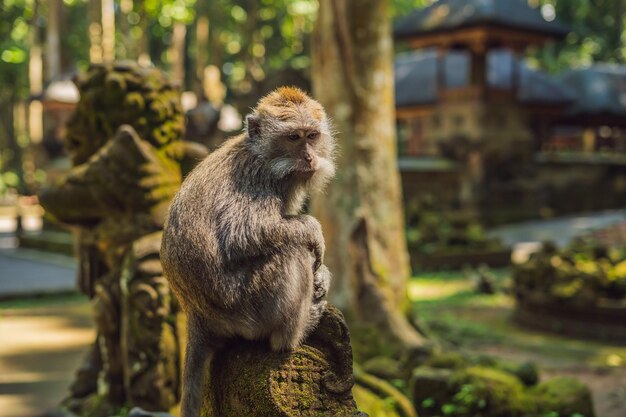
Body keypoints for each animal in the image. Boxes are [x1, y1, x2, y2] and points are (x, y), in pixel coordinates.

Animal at [161, 86, 336, 414]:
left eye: (312, 136)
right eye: (293, 137)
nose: (309, 157)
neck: (263, 156)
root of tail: (195, 314)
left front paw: (323, 277)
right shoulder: (254, 179)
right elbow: (243, 233)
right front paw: (313, 230)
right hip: (242, 307)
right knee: (291, 252)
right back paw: (293, 334)